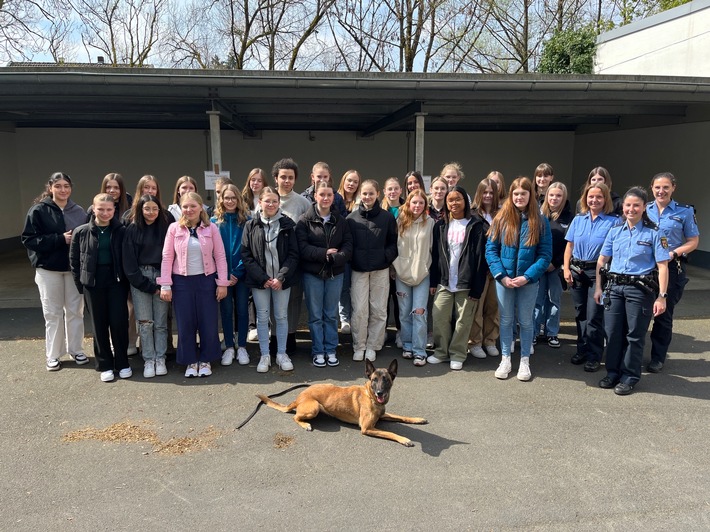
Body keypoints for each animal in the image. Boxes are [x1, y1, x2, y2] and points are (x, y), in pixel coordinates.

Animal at [258, 360, 428, 446]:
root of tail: (300, 396)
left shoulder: (383, 415)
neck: (371, 396)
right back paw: (306, 424)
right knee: (295, 417)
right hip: (314, 408)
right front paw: (404, 439)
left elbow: (402, 416)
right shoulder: (367, 428)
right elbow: (390, 433)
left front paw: (418, 419)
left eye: (386, 379)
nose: (380, 393)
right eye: (374, 380)